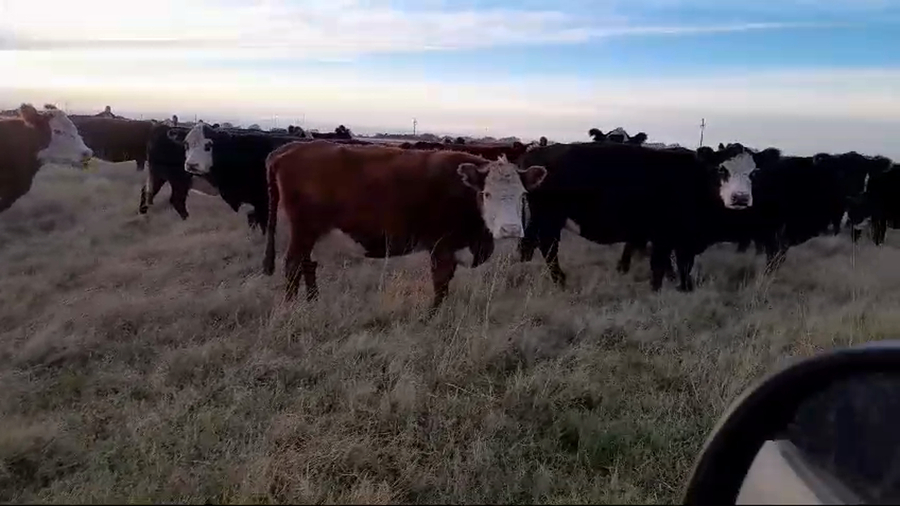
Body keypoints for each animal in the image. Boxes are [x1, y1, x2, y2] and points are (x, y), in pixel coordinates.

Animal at [262, 141, 547, 310]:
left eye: (523, 195)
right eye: (487, 194)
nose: (511, 229)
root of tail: (290, 149)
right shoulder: (442, 246)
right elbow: (440, 282)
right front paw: (434, 316)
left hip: (312, 232)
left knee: (307, 264)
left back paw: (313, 302)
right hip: (303, 230)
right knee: (292, 264)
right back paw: (291, 308)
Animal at [515, 142, 765, 292]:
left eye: (754, 173)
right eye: (722, 169)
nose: (741, 197)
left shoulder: (680, 237)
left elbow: (681, 264)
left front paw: (684, 287)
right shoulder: (665, 234)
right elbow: (661, 264)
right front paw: (658, 290)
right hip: (550, 217)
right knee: (548, 247)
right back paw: (560, 281)